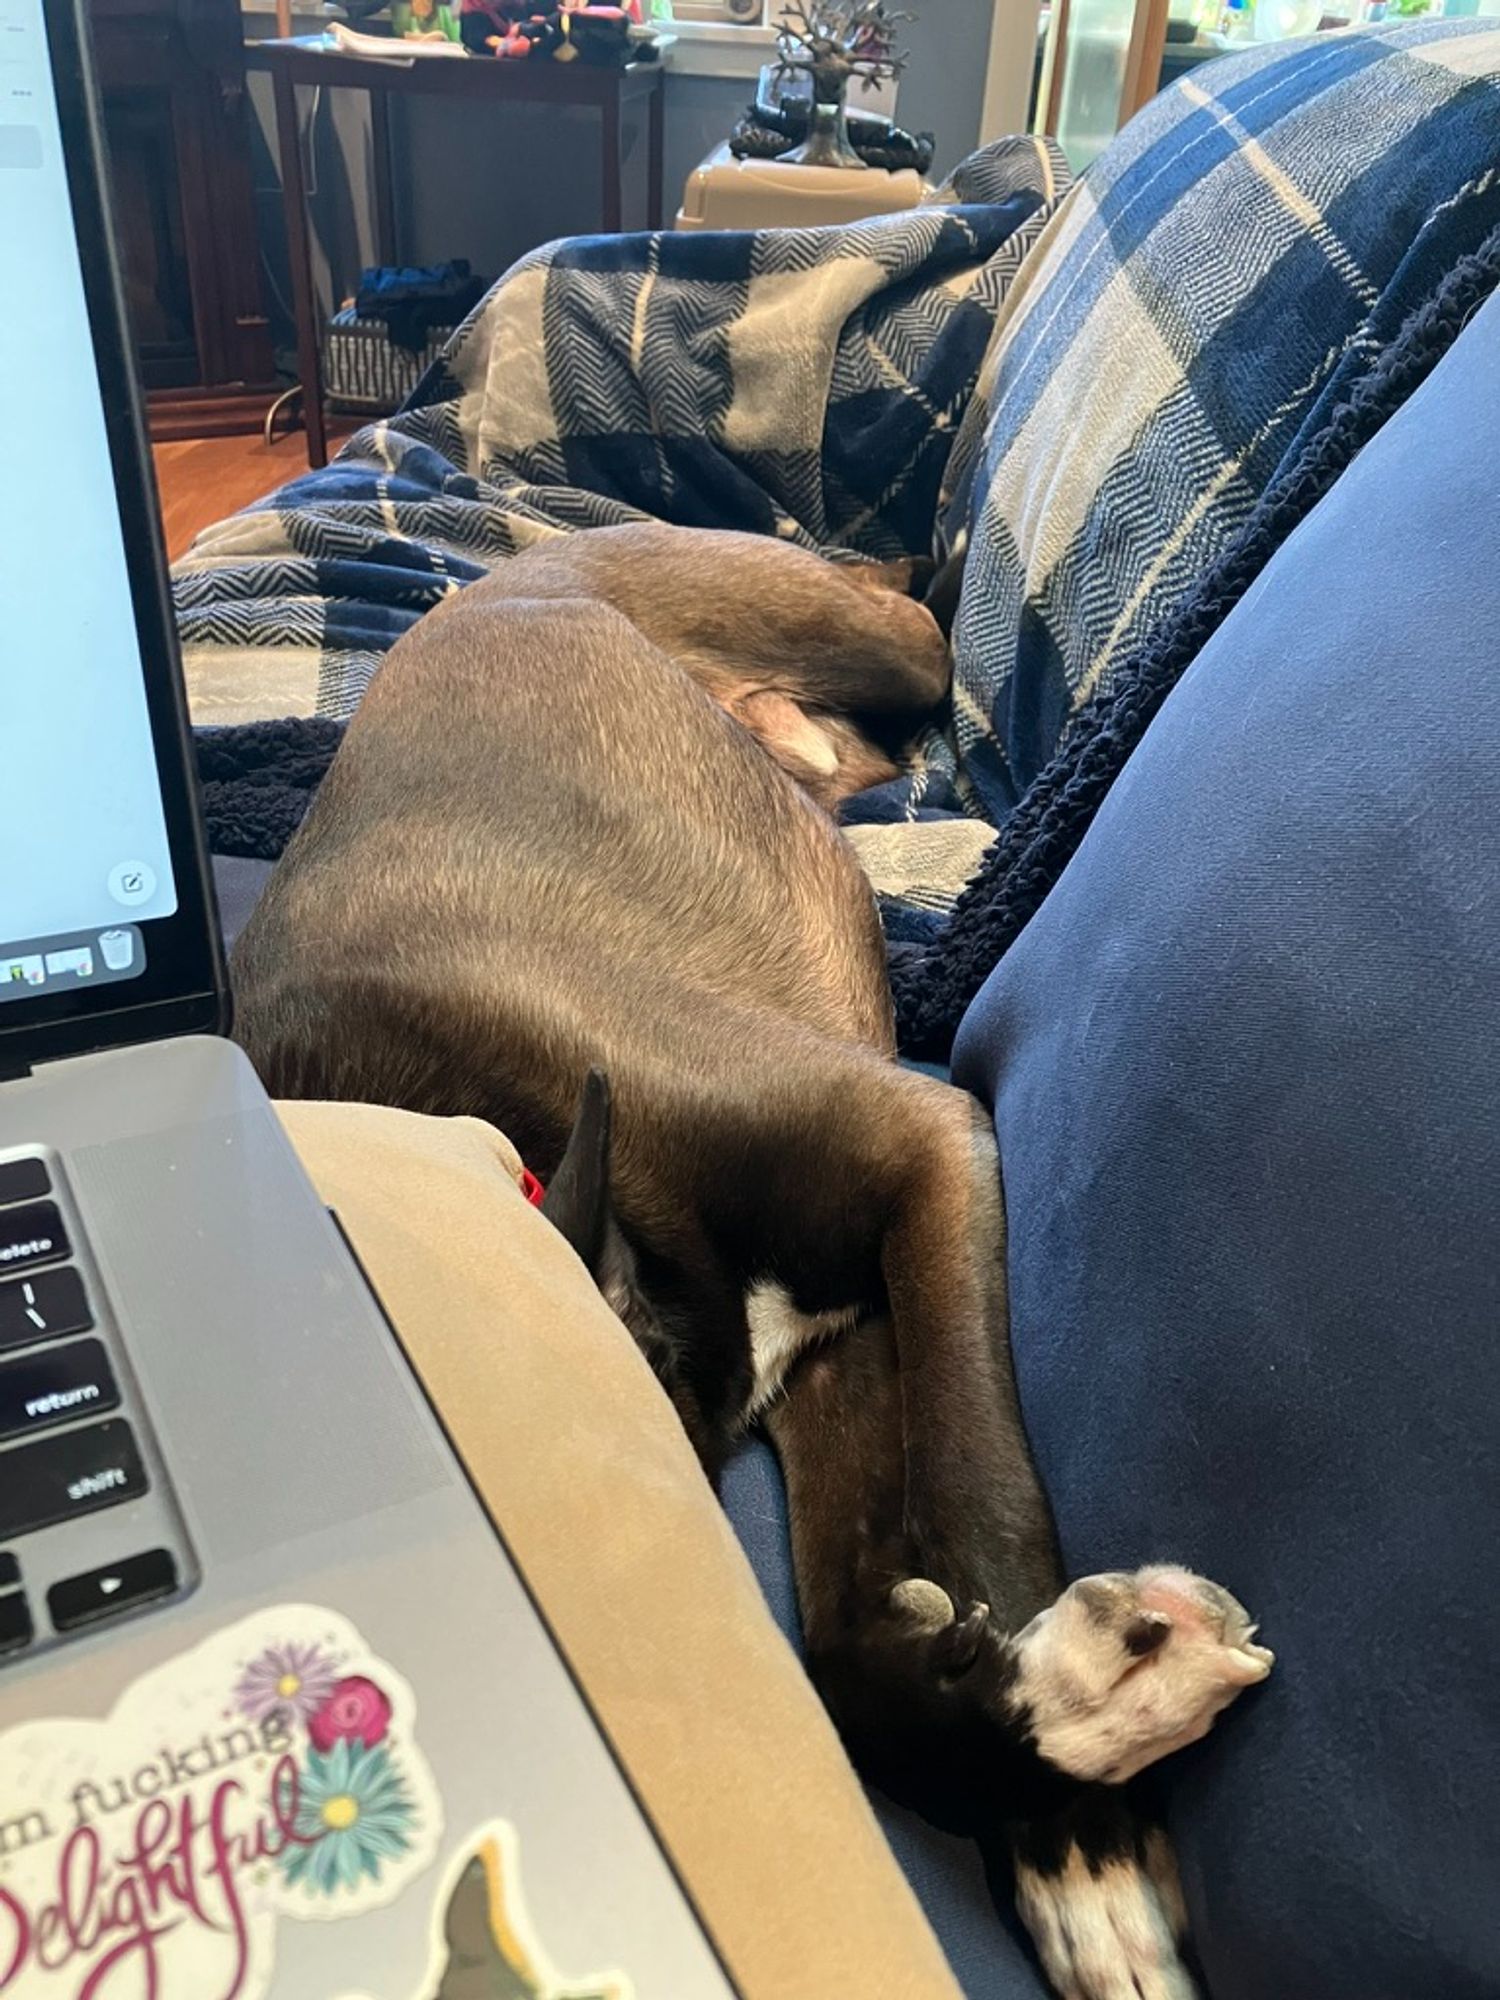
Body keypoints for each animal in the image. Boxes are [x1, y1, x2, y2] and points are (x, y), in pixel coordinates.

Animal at [232, 524, 1272, 1992]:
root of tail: (519, 566)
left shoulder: (922, 1153)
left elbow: (981, 1501)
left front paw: (1083, 1844)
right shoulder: (841, 1347)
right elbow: (836, 1647)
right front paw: (1054, 1737)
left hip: (856, 632)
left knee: (907, 615)